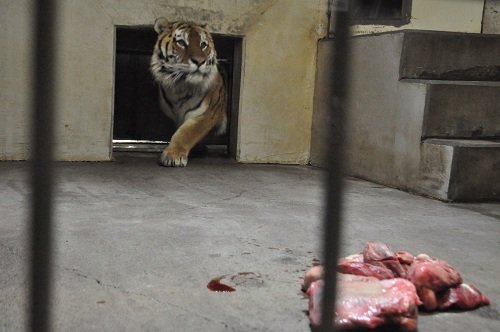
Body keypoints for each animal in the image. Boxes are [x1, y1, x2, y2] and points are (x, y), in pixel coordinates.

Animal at [148, 17, 227, 167]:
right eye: (181, 43)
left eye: (203, 44)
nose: (200, 61)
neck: (180, 86)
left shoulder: (205, 114)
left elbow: (185, 133)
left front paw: (174, 155)